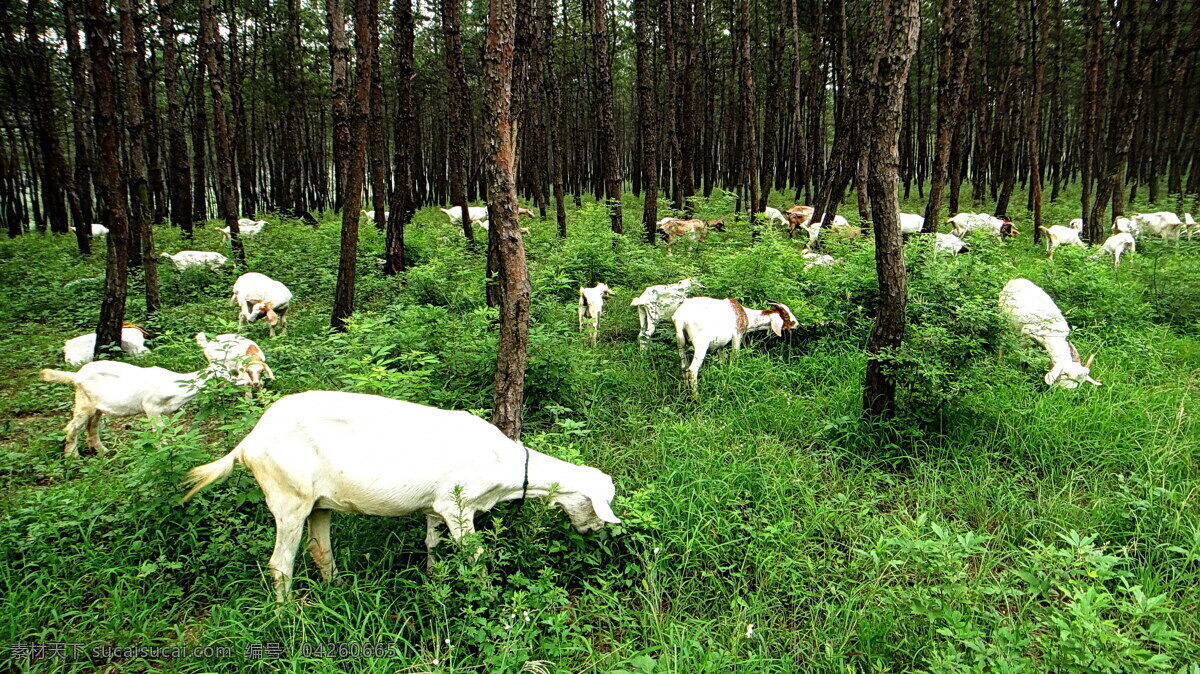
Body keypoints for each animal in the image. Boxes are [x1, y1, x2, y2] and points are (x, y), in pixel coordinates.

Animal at [40, 359, 216, 453]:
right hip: (84, 403)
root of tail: (75, 376)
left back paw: (101, 451)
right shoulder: (151, 407)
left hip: (97, 407)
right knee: (72, 428)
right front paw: (163, 448)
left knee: (91, 427)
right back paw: (72, 458)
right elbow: (159, 430)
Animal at [184, 388, 628, 597]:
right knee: (280, 564)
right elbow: (475, 555)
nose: (593, 532)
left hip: (318, 503)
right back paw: (289, 615)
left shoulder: (434, 506)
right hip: (287, 496)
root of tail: (249, 441)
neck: (504, 463)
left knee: (319, 549)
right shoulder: (457, 505)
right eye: (597, 505)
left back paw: (337, 591)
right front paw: (487, 596)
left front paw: (432, 582)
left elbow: (432, 543)